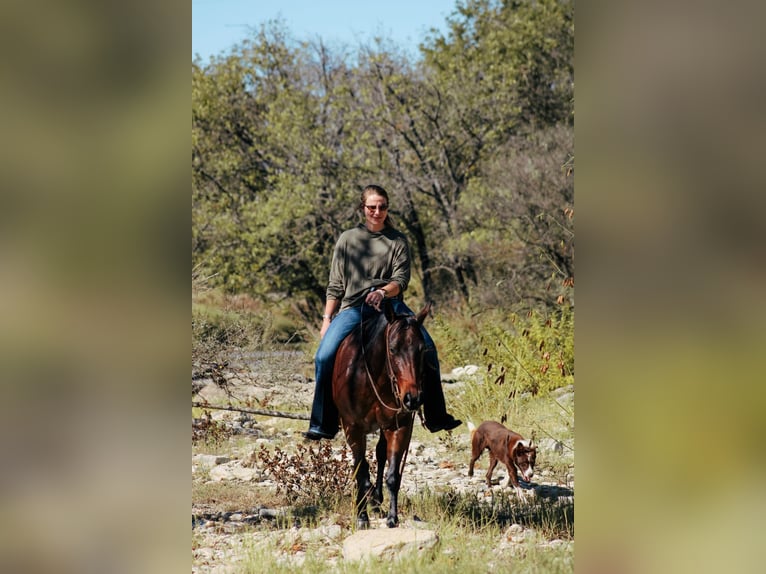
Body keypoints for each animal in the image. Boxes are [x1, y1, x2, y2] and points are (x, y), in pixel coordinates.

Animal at [336, 302, 432, 532]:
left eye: (422, 349)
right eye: (393, 349)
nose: (413, 398)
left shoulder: (398, 426)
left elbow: (393, 474)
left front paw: (392, 517)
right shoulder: (353, 428)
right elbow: (361, 471)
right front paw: (362, 517)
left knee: (380, 454)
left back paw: (376, 500)